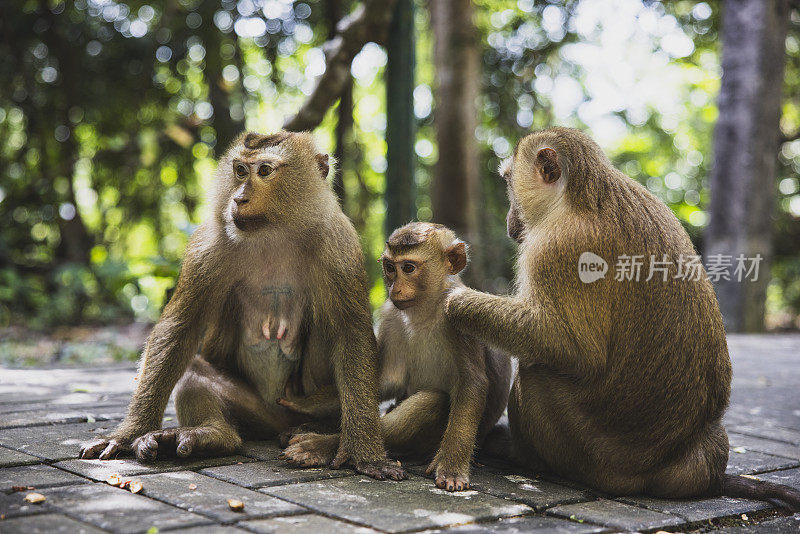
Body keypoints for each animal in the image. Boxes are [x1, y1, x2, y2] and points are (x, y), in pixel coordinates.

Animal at [79, 131, 406, 482]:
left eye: (264, 171)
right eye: (239, 170)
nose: (238, 199)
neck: (274, 232)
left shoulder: (339, 246)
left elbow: (351, 334)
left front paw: (366, 453)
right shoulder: (207, 246)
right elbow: (179, 327)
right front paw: (127, 435)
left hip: (294, 402)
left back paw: (313, 427)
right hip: (258, 414)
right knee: (194, 371)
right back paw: (211, 435)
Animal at [278, 223, 510, 494]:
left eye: (408, 268)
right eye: (390, 267)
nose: (395, 288)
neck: (425, 311)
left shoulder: (457, 314)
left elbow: (472, 384)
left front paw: (452, 468)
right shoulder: (391, 315)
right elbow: (386, 381)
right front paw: (305, 404)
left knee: (432, 401)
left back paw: (318, 445)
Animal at [444, 126, 800, 510]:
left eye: (510, 182)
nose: (511, 221)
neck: (578, 197)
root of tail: (661, 467)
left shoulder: (556, 251)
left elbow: (572, 349)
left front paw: (458, 304)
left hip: (593, 454)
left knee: (536, 370)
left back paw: (522, 456)